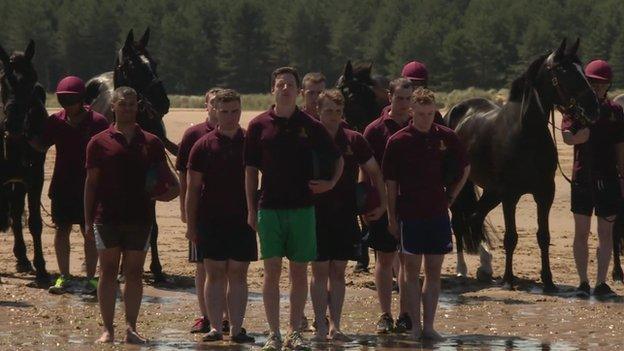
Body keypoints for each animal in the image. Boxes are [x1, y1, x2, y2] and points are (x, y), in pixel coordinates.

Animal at [444, 38, 600, 292]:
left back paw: (484, 268)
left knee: (476, 217)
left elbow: (543, 236)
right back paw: (461, 269)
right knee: (459, 222)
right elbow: (511, 237)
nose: (593, 107)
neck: (526, 134)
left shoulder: (545, 193)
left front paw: (548, 281)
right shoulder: (510, 195)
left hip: (491, 191)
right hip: (462, 186)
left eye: (582, 70)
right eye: (564, 71)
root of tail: (455, 111)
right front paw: (509, 279)